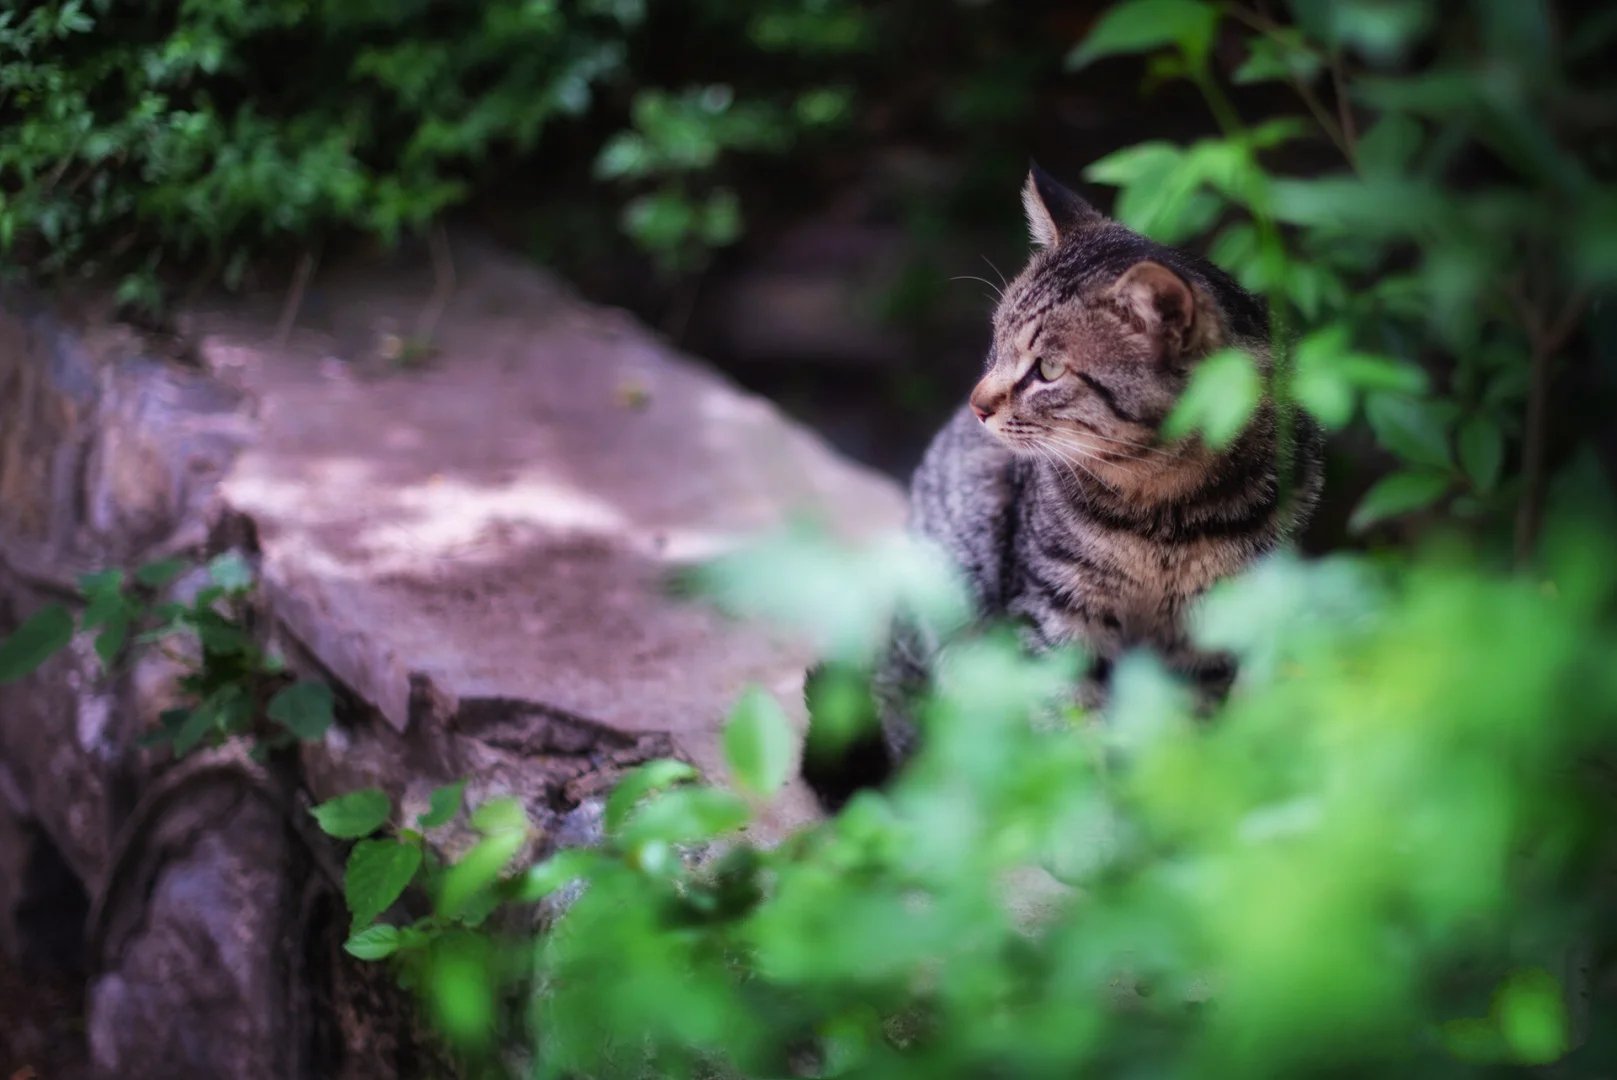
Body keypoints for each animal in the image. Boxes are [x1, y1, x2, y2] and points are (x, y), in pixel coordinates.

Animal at [802, 166, 1319, 792]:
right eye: (996, 340)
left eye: (1048, 369)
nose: (977, 404)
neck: (1164, 512)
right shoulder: (1054, 614)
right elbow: (1070, 740)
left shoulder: (1209, 632)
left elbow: (1178, 741)